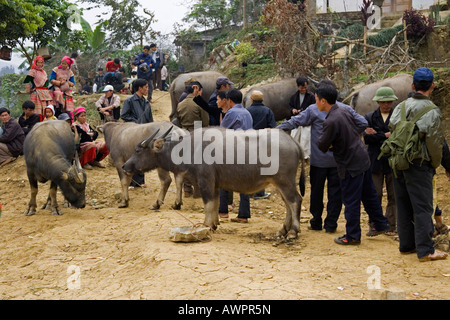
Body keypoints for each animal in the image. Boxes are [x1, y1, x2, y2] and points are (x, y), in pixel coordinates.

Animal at [122, 125, 306, 240]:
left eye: (138, 150)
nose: (125, 166)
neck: (189, 148)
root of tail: (293, 142)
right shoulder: (215, 184)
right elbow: (216, 203)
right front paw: (215, 223)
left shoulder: (206, 182)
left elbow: (208, 203)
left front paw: (207, 225)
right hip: (279, 183)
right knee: (288, 203)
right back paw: (282, 230)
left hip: (285, 181)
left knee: (295, 200)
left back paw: (293, 232)